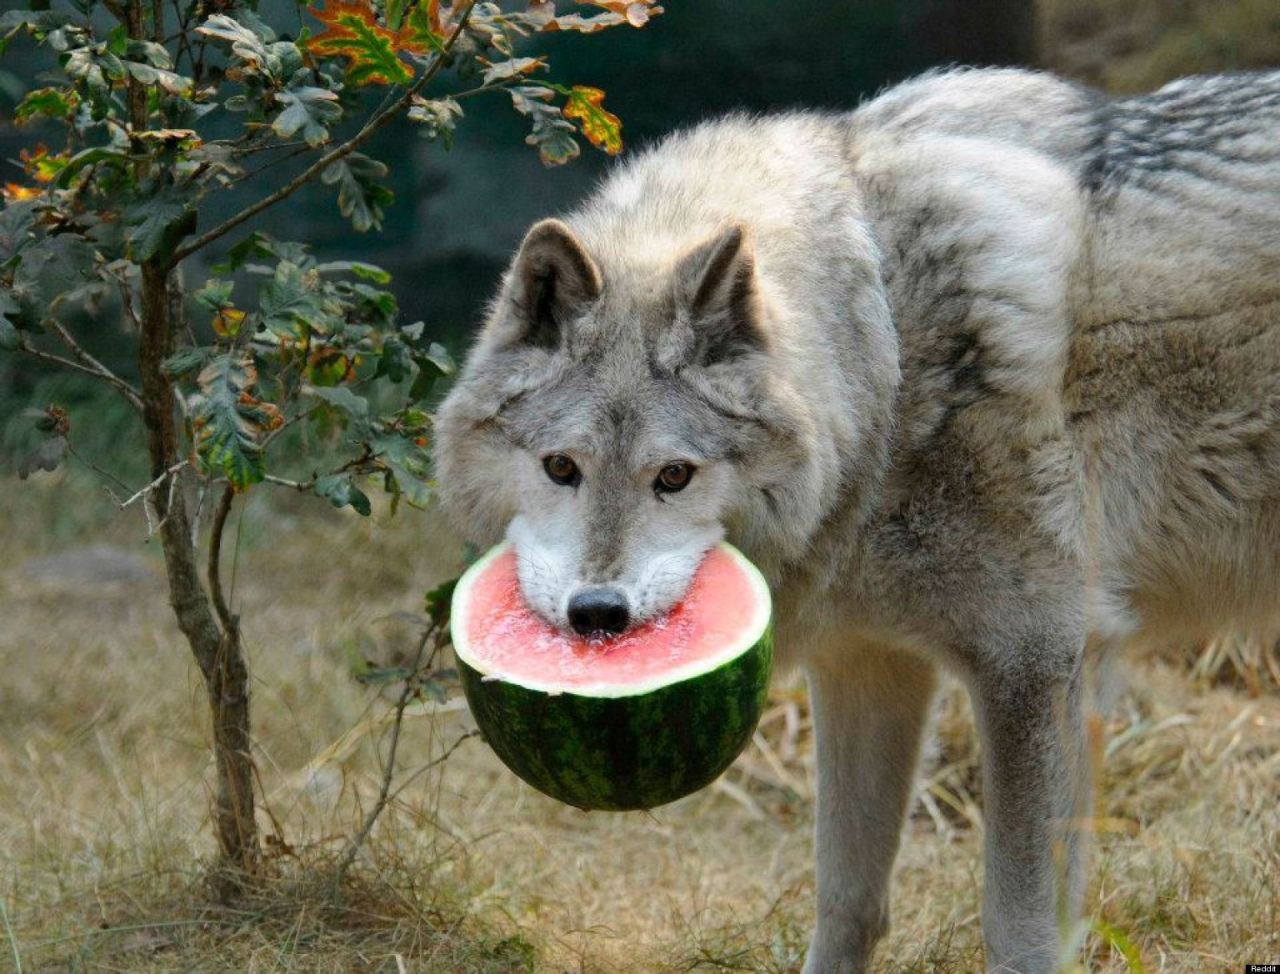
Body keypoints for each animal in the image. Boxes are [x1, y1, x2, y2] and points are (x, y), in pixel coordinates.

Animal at [434, 67, 1280, 973]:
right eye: (562, 468)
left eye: (674, 476)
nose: (598, 616)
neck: (887, 355)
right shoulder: (867, 663)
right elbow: (847, 899)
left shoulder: (1034, 663)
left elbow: (1018, 927)